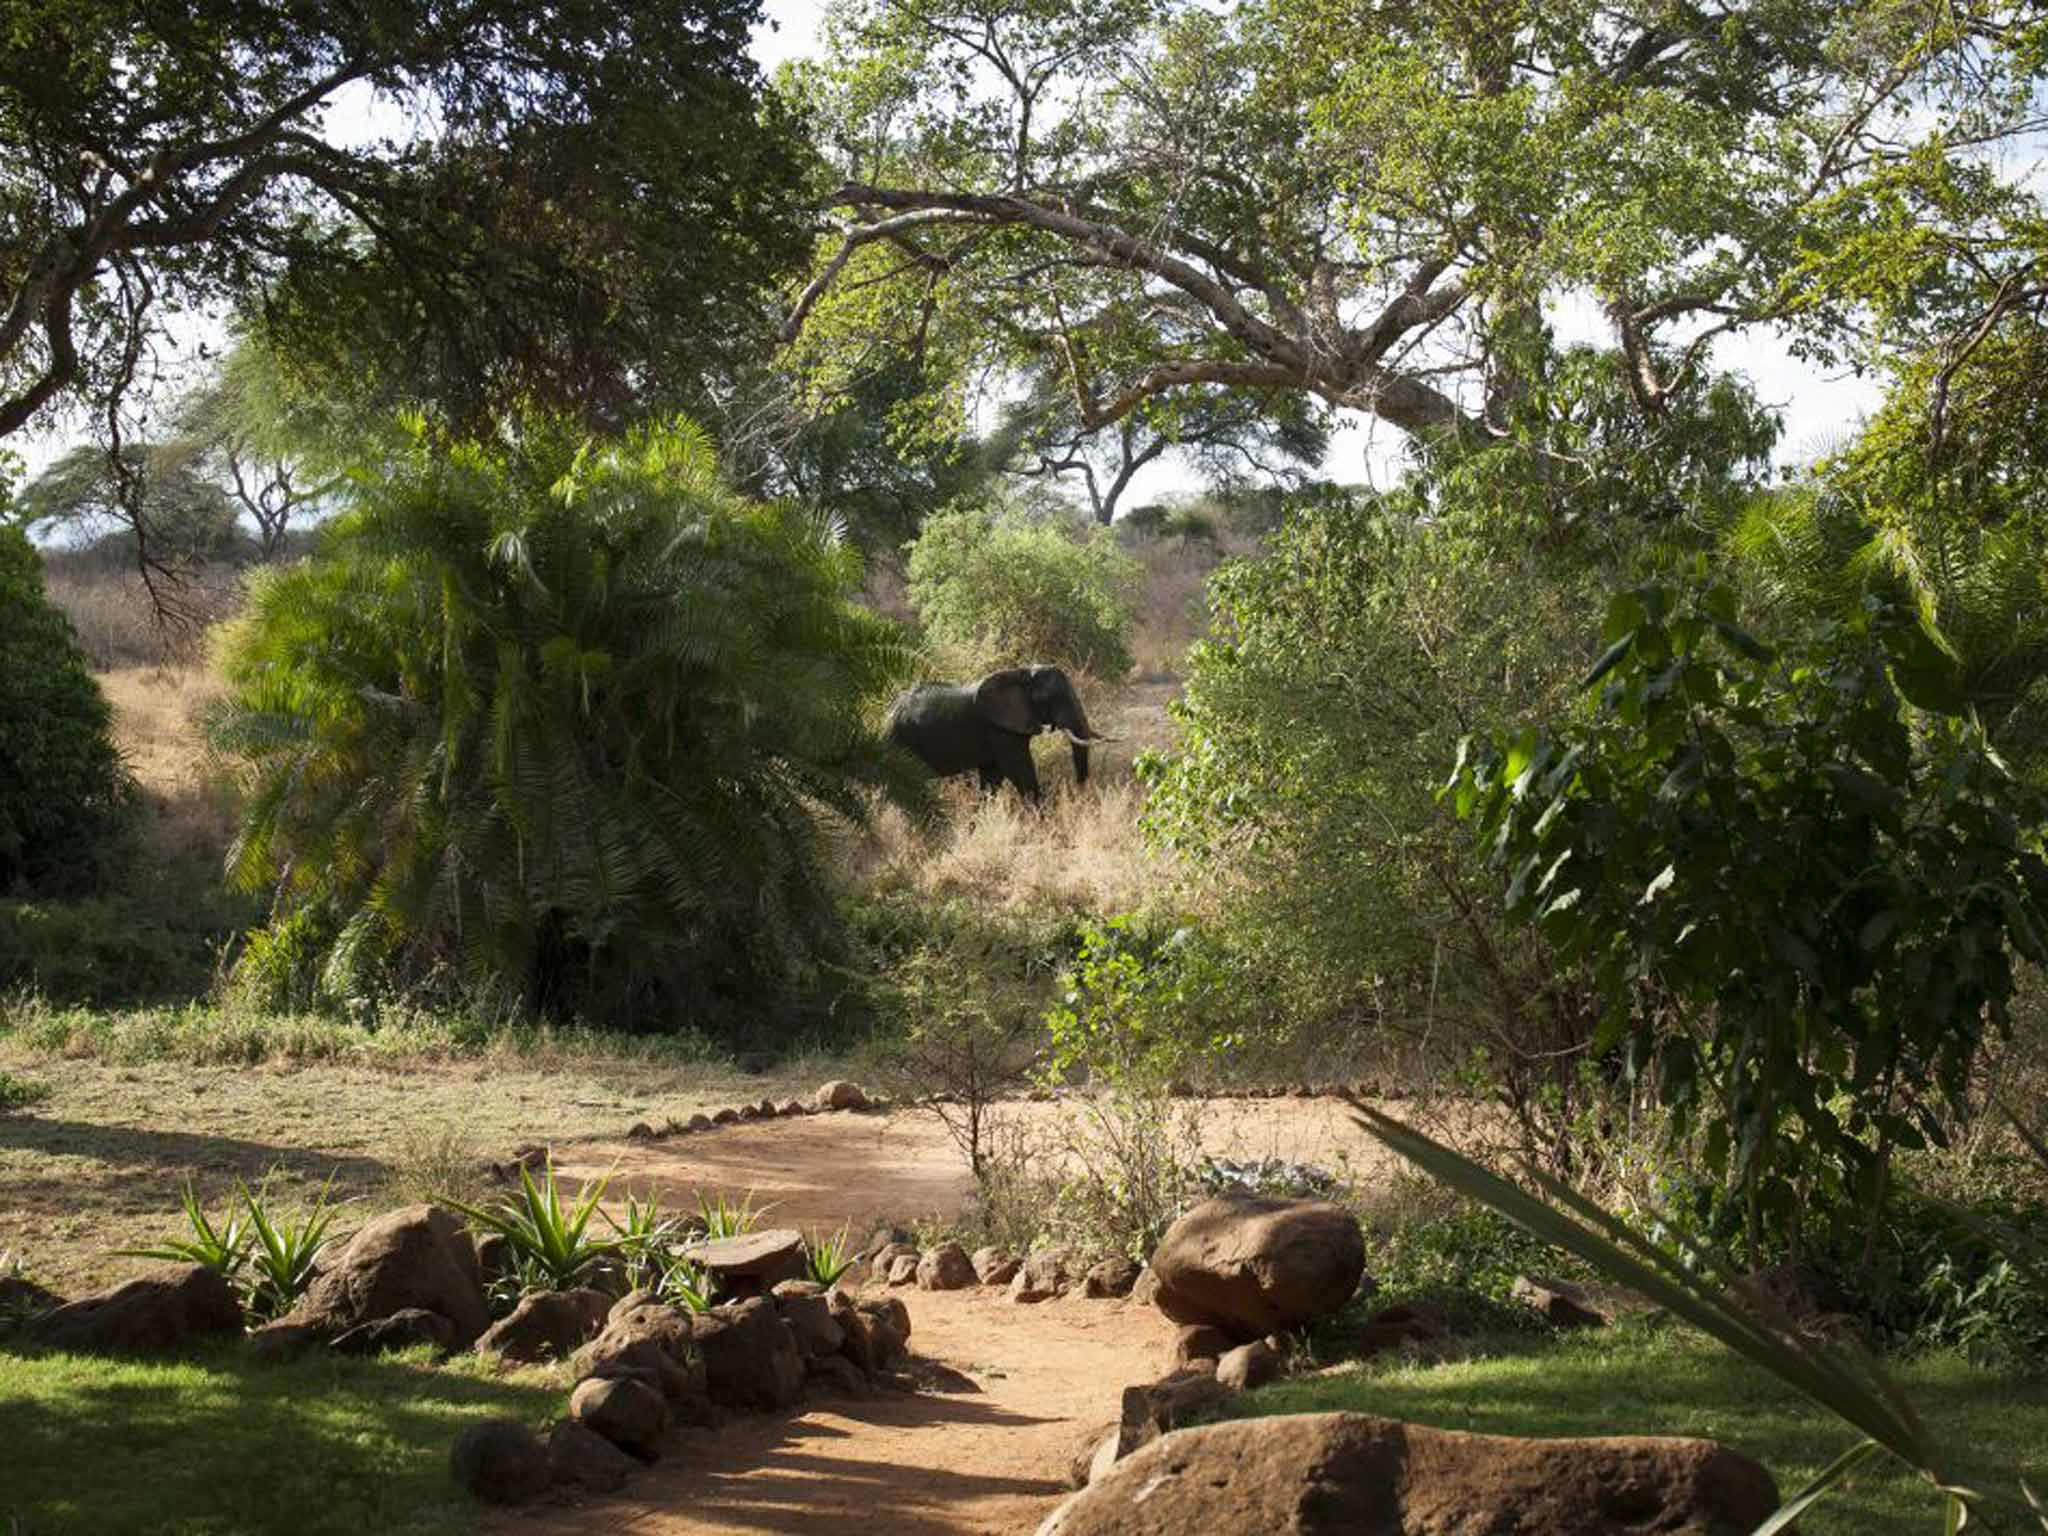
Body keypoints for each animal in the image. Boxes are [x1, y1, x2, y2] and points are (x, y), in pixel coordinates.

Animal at [888, 663, 1114, 806]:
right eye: (1049, 699)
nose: (1080, 792)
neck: (1023, 673)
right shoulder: (999, 729)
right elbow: (1019, 770)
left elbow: (992, 776)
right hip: (902, 740)